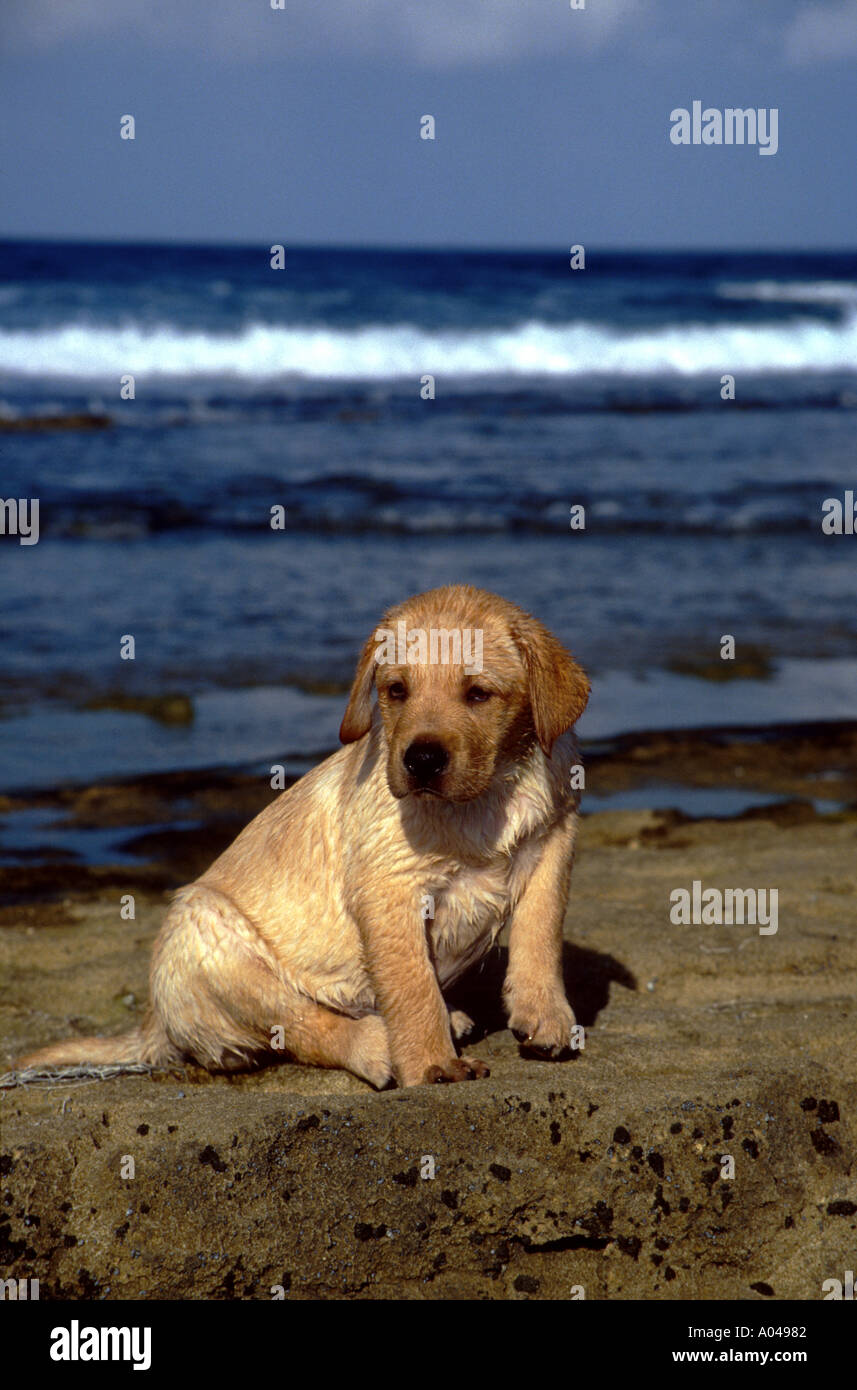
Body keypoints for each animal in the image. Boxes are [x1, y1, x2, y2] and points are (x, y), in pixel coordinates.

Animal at [25, 583, 588, 1084]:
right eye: (396, 691)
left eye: (478, 694)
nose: (422, 761)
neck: (484, 799)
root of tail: (156, 1022)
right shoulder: (390, 890)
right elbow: (412, 988)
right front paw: (432, 1063)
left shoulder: (554, 844)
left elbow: (540, 936)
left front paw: (546, 1016)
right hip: (214, 939)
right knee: (306, 1026)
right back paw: (378, 1045)